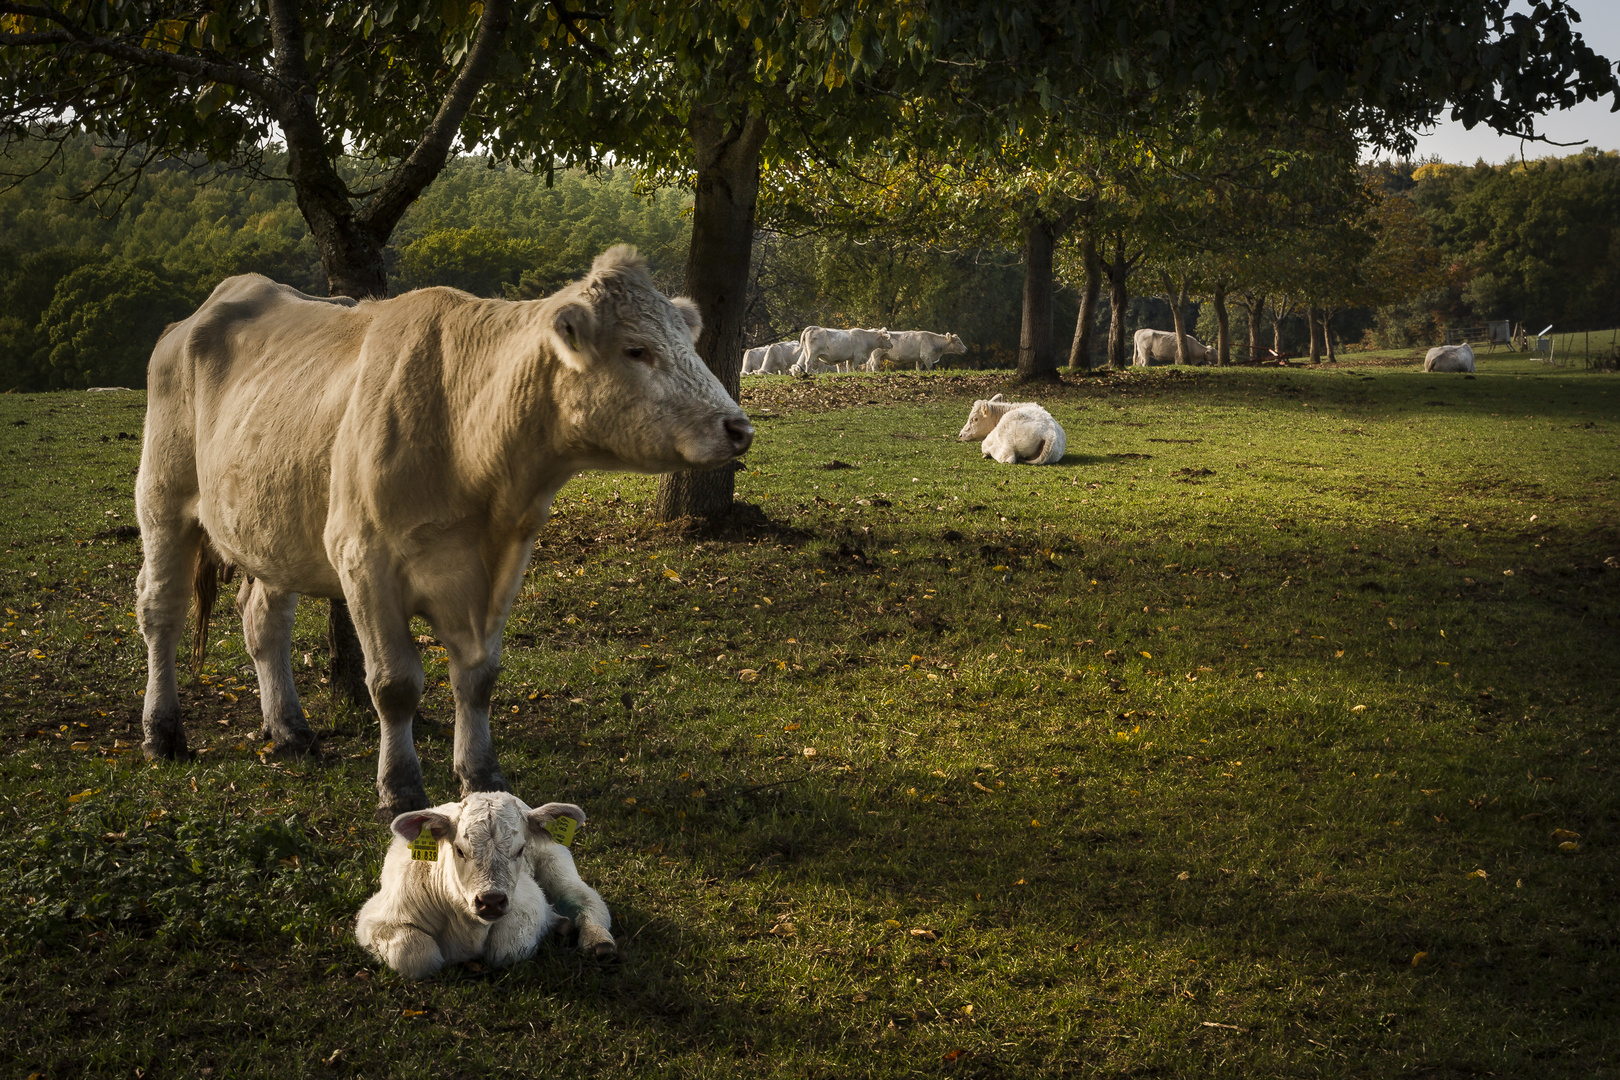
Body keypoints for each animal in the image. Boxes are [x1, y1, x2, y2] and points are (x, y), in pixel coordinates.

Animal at [139, 247, 751, 819]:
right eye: (636, 350)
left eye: (690, 344)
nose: (738, 427)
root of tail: (198, 314)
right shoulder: (364, 560)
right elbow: (395, 685)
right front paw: (399, 788)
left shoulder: (500, 569)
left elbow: (478, 678)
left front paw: (483, 778)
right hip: (164, 501)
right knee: (161, 612)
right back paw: (163, 733)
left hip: (272, 524)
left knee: (264, 620)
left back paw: (290, 730)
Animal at [358, 793, 615, 977]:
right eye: (460, 850)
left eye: (520, 849)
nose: (491, 901)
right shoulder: (375, 919)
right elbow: (417, 955)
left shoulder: (527, 902)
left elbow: (506, 950)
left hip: (556, 863)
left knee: (587, 898)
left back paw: (599, 941)